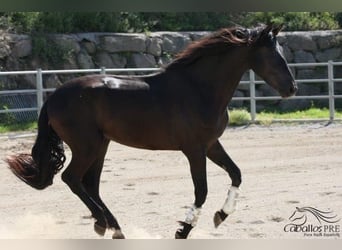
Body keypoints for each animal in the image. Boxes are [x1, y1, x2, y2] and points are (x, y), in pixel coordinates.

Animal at [5, 24, 296, 239]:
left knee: (90, 185)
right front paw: (183, 230)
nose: (291, 88)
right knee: (72, 179)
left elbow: (236, 173)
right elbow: (201, 190)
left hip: (101, 145)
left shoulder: (212, 145)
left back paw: (115, 229)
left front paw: (220, 216)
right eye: (272, 55)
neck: (199, 88)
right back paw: (103, 224)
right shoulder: (194, 149)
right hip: (87, 146)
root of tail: (53, 98)